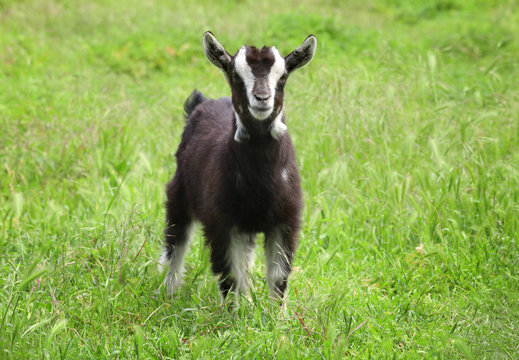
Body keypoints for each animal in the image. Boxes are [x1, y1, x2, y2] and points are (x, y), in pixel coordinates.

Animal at [158, 31, 316, 304]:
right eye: (235, 74)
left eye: (283, 76)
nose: (262, 99)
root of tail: (200, 103)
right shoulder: (221, 222)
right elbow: (229, 275)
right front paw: (234, 313)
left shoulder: (285, 221)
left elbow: (278, 277)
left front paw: (275, 314)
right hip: (180, 192)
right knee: (175, 241)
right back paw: (169, 293)